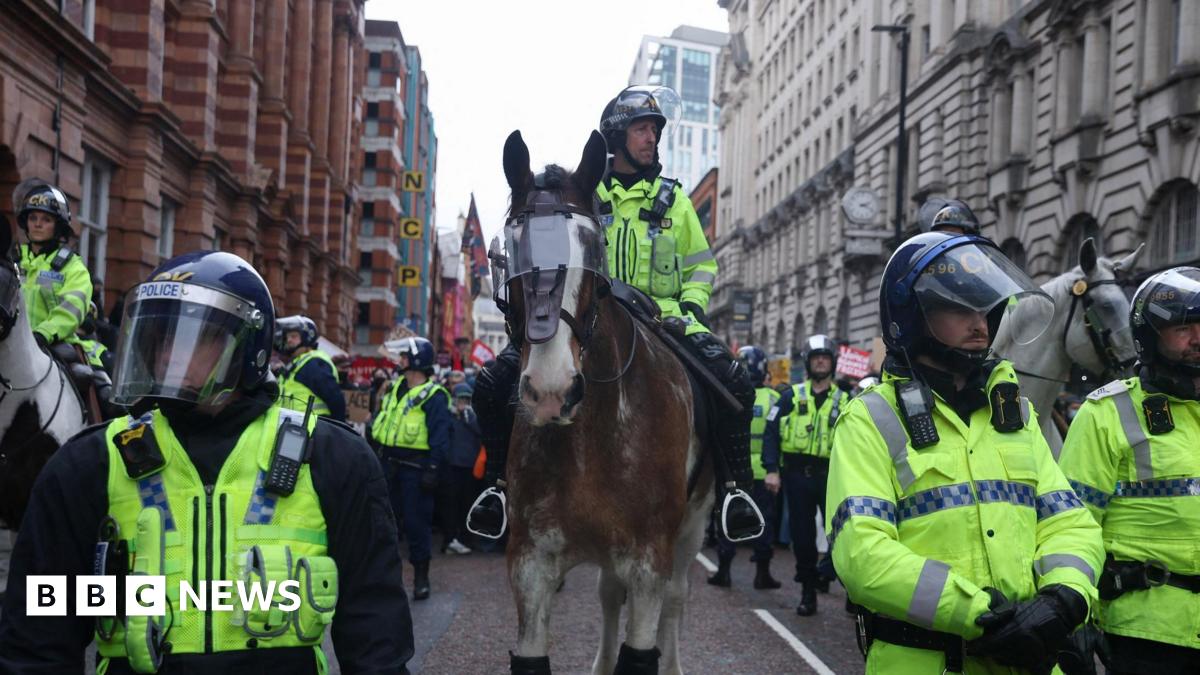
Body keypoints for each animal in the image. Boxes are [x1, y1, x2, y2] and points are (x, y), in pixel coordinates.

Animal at [498, 129, 714, 675]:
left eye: (592, 250)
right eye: (512, 250)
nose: (551, 390)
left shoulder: (649, 559)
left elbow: (643, 644)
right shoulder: (531, 562)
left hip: (692, 527)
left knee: (677, 597)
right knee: (608, 594)